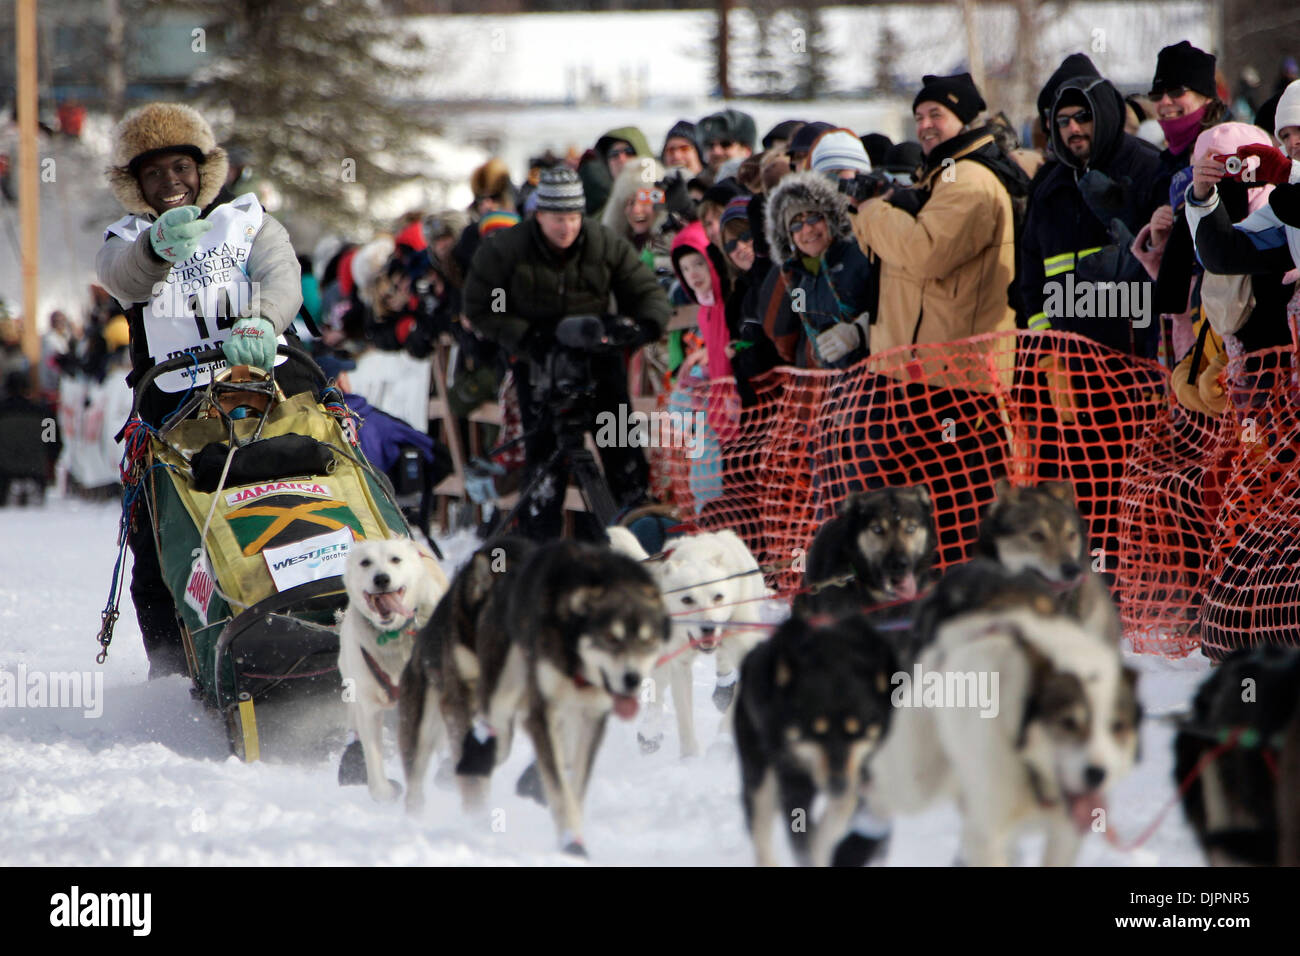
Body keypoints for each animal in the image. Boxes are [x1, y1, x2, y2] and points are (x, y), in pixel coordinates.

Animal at [338, 535, 449, 806]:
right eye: (365, 562)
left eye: (395, 560)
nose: (381, 579)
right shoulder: (368, 706)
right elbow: (373, 760)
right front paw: (385, 792)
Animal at [608, 528, 769, 759]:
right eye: (687, 600)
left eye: (718, 597)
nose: (709, 627)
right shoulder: (679, 663)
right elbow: (683, 714)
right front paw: (689, 756)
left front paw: (722, 741)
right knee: (658, 686)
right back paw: (650, 731)